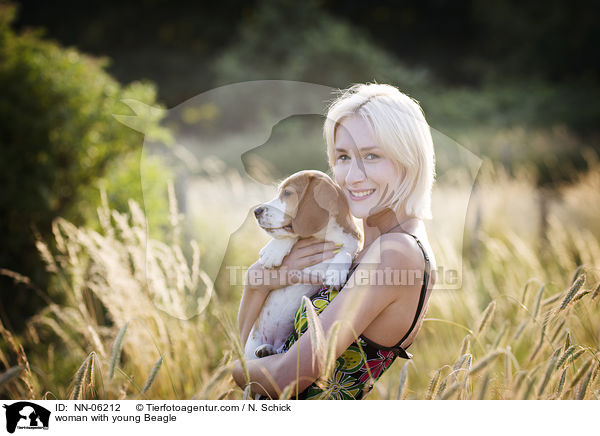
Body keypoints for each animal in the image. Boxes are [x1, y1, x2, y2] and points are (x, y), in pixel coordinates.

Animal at [245, 170, 360, 362]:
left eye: (288, 193)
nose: (256, 211)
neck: (325, 236)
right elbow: (294, 235)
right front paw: (272, 251)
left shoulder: (355, 243)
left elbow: (345, 252)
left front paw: (335, 273)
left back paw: (268, 350)